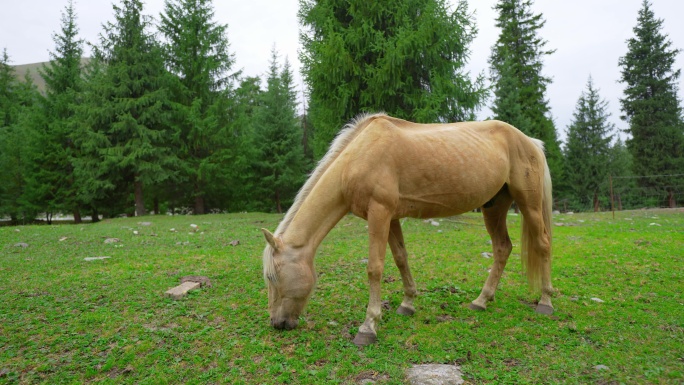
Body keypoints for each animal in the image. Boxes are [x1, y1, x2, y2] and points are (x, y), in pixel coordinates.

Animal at [260, 111, 552, 344]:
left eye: (272, 277)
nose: (277, 323)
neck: (359, 157)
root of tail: (531, 142)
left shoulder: (379, 213)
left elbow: (374, 268)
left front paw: (368, 327)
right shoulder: (390, 217)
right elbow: (401, 257)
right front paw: (407, 303)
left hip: (528, 204)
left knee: (543, 245)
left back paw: (545, 302)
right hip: (494, 207)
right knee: (502, 248)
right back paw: (481, 300)